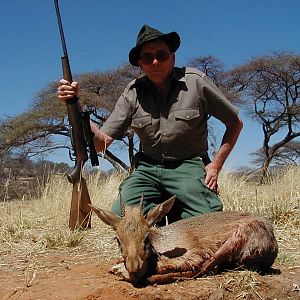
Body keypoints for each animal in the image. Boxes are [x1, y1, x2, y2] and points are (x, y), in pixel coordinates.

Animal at [90, 196, 278, 284]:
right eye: (118, 240)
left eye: (146, 237)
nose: (134, 267)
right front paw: (118, 266)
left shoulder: (196, 254)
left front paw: (121, 270)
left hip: (233, 241)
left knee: (206, 268)